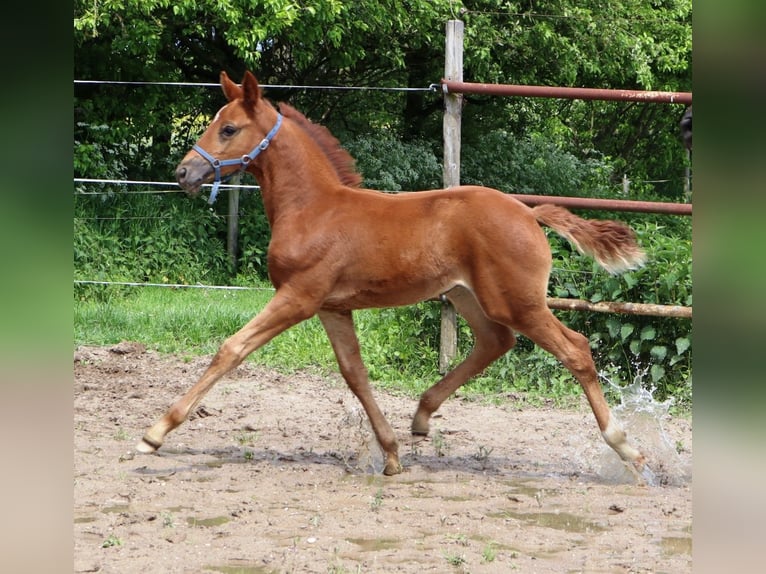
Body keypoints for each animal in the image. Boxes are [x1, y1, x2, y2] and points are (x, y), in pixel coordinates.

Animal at [137, 70, 652, 483]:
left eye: (228, 128)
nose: (183, 172)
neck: (312, 209)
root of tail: (529, 213)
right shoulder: (332, 306)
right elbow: (355, 374)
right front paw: (390, 455)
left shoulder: (298, 297)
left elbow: (231, 349)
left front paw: (154, 433)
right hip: (467, 295)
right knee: (494, 342)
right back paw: (422, 416)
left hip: (516, 301)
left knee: (575, 348)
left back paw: (628, 448)